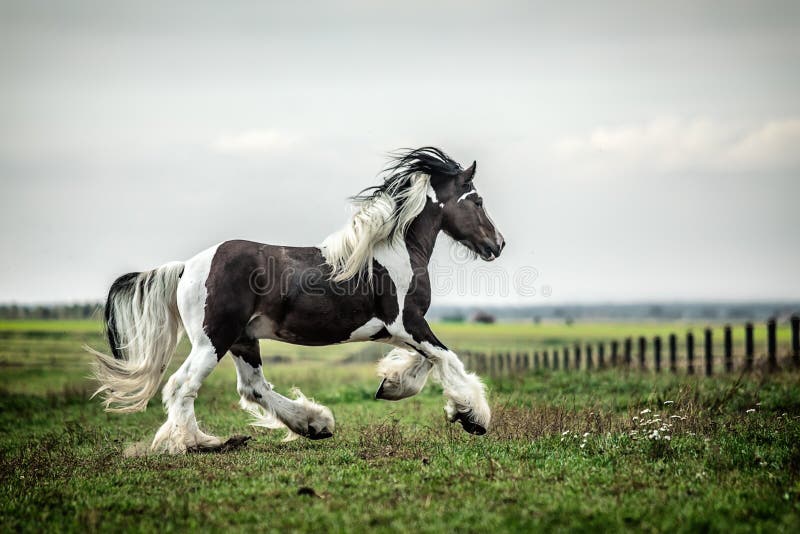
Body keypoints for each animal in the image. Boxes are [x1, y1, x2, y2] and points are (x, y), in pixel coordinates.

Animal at [90, 148, 506, 456]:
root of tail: (186, 267)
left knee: (252, 387)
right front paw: (474, 417)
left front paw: (391, 385)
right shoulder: (407, 322)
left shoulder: (396, 330)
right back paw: (198, 443)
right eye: (478, 200)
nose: (498, 244)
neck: (397, 252)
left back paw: (314, 424)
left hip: (243, 340)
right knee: (182, 385)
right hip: (214, 339)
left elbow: (425, 362)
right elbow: (447, 358)